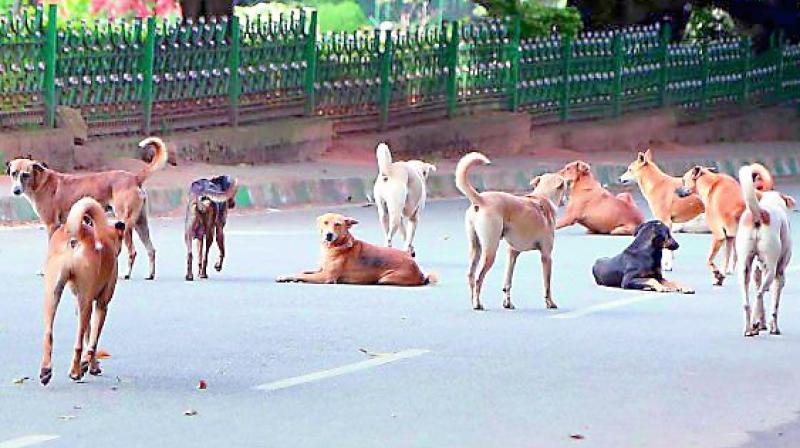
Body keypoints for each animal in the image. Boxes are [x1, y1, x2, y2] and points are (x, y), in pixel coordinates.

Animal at [6, 136, 170, 280]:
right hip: (141, 223)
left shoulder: (52, 225)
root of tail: (134, 177)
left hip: (125, 222)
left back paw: (126, 274)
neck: (41, 182)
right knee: (151, 250)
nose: (16, 191)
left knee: (132, 251)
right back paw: (150, 275)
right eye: (14, 173)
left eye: (25, 175)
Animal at [39, 198, 126, 386]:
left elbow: (88, 335)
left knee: (48, 334)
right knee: (78, 343)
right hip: (85, 300)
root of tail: (76, 234)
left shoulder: (79, 306)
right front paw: (89, 364)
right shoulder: (101, 305)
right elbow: (92, 340)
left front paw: (91, 365)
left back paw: (46, 371)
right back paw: (75, 372)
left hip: (52, 294)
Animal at [276, 212, 438, 286]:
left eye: (337, 224)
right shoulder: (320, 270)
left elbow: (304, 275)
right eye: (325, 222)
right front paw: (289, 277)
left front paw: (291, 278)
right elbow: (303, 272)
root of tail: (420, 272)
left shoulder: (326, 276)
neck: (337, 246)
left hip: (386, 278)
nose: (328, 235)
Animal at [456, 152, 568, 310]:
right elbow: (547, 285)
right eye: (565, 187)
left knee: (471, 275)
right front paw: (550, 303)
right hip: (490, 250)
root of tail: (481, 199)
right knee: (479, 278)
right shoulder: (546, 256)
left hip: (475, 248)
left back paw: (473, 301)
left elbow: (507, 282)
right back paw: (477, 303)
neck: (542, 198)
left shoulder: (512, 253)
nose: (566, 200)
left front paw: (507, 303)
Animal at [736, 166, 792, 338]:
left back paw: (749, 328)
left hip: (744, 270)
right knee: (759, 294)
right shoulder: (779, 275)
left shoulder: (757, 272)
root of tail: (760, 212)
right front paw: (773, 327)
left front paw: (761, 324)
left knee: (747, 302)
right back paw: (754, 323)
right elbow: (775, 305)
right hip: (772, 270)